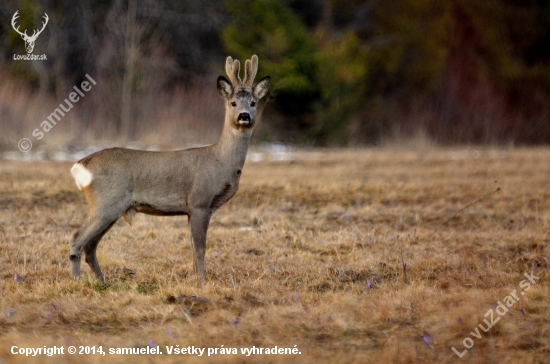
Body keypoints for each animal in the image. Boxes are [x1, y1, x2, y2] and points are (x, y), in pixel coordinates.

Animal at [69, 55, 272, 284]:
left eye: (254, 103)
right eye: (233, 102)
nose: (244, 116)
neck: (221, 161)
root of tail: (80, 165)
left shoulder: (191, 209)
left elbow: (192, 247)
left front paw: (195, 278)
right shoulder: (200, 202)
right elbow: (200, 248)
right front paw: (202, 281)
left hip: (111, 208)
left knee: (91, 246)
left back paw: (102, 283)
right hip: (106, 201)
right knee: (77, 238)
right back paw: (77, 281)